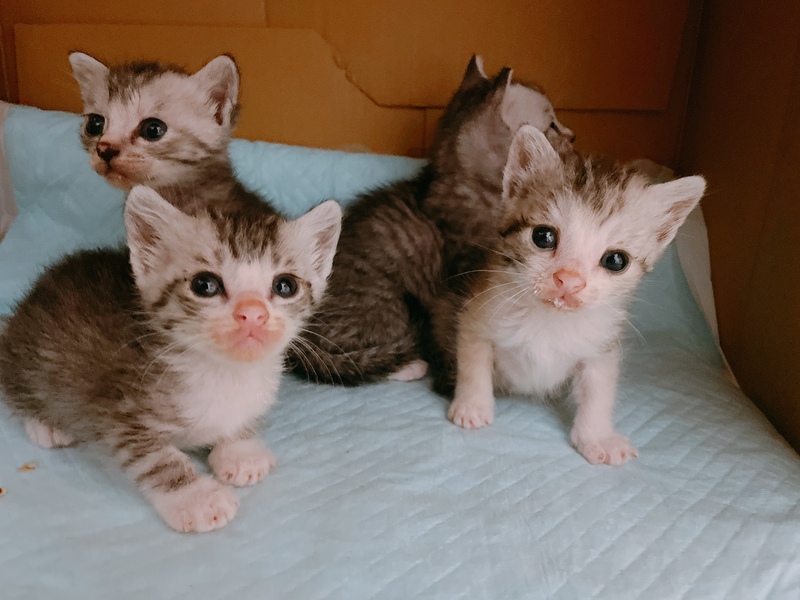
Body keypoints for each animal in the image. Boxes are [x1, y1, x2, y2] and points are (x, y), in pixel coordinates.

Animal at [0, 185, 341, 532]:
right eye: (205, 284)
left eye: (285, 285)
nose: (253, 313)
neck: (222, 372)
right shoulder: (118, 406)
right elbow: (157, 459)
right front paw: (197, 499)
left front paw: (241, 450)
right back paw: (45, 424)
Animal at [443, 125, 705, 466]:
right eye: (543, 236)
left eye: (616, 260)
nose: (568, 280)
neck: (550, 321)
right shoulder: (478, 310)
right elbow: (473, 361)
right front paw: (472, 406)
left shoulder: (601, 346)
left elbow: (599, 390)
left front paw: (598, 437)